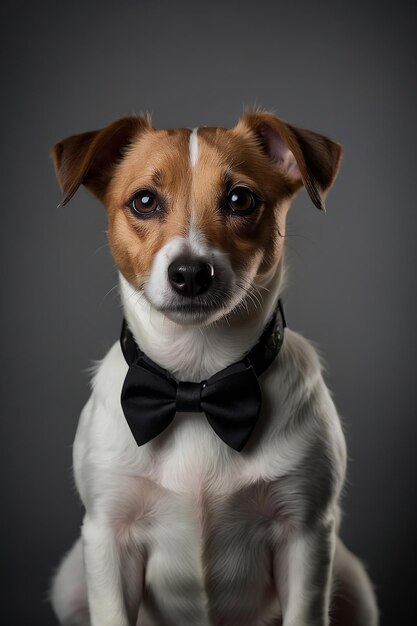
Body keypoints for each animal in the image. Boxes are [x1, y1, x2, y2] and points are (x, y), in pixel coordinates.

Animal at [50, 113, 378, 624]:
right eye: (145, 201)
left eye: (240, 198)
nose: (190, 273)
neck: (197, 383)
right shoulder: (108, 537)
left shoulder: (305, 536)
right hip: (70, 581)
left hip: (353, 580)